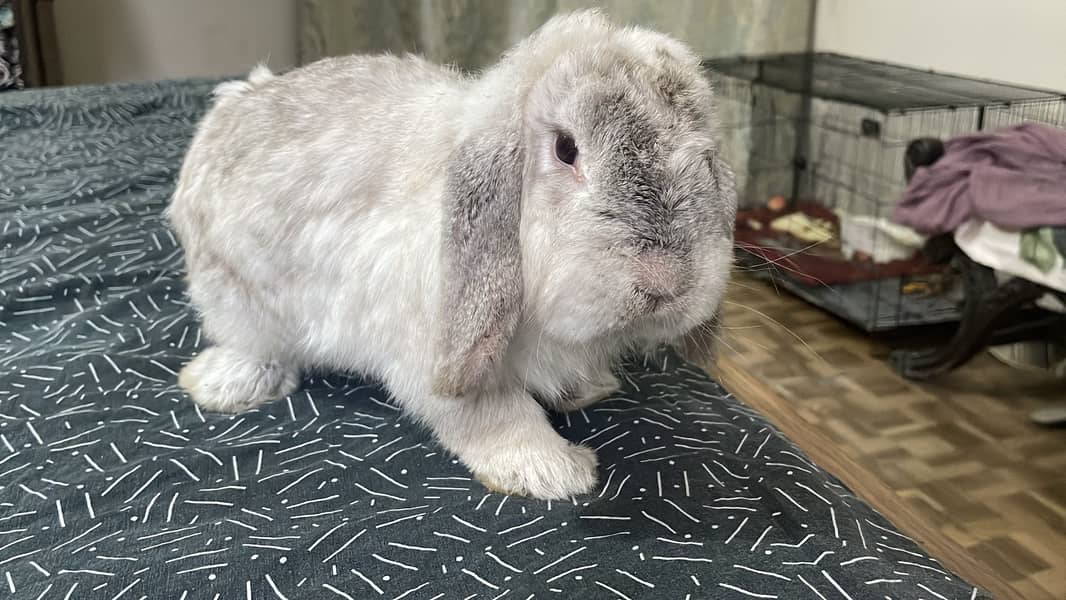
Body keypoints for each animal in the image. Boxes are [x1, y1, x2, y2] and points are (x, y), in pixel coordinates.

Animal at [168, 9, 736, 500]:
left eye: (706, 157)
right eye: (566, 149)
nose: (666, 282)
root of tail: (234, 102)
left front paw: (590, 391)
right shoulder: (437, 358)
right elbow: (497, 416)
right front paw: (553, 472)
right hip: (237, 300)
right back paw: (223, 387)